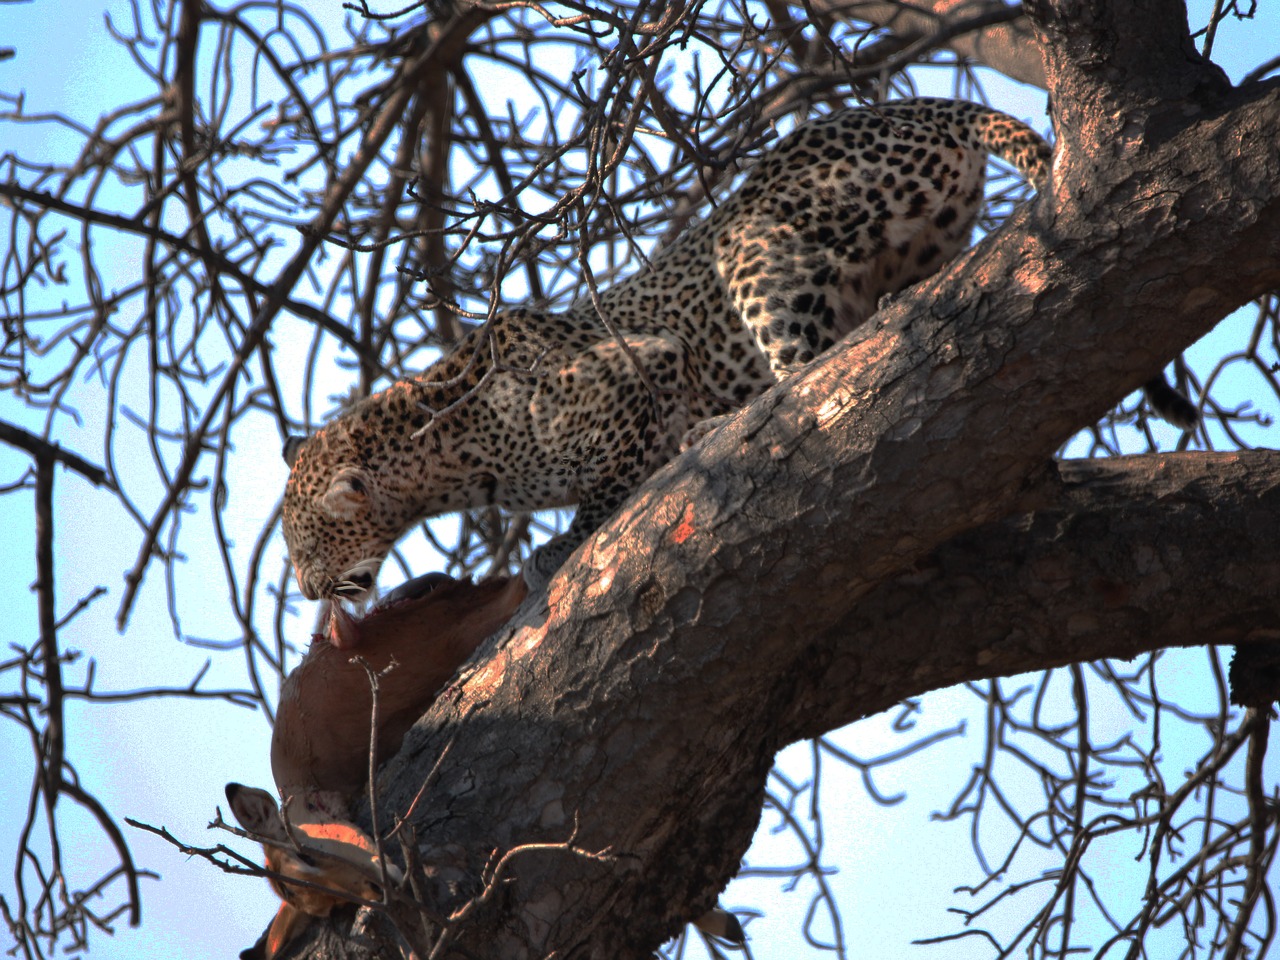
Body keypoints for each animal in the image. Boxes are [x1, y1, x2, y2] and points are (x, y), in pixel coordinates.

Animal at [275, 96, 1192, 601]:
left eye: (304, 546)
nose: (314, 593)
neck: (451, 460)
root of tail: (919, 103)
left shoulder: (635, 373)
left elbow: (605, 489)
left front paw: (558, 548)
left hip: (750, 242)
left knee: (813, 379)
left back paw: (721, 426)